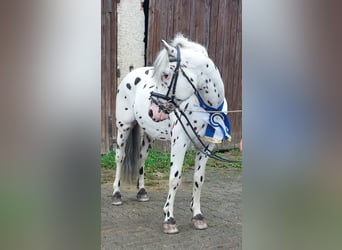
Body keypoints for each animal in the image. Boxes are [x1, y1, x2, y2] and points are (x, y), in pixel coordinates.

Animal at [113, 34, 234, 233]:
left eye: (166, 74)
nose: (153, 111)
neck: (205, 107)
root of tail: (131, 74)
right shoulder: (180, 143)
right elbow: (174, 178)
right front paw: (169, 219)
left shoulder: (206, 147)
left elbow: (198, 179)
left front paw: (197, 216)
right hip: (124, 127)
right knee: (120, 157)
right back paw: (116, 194)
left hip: (149, 134)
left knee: (142, 158)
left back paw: (142, 192)